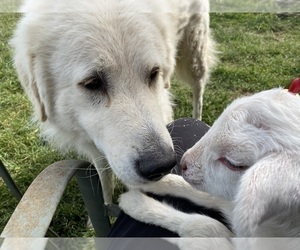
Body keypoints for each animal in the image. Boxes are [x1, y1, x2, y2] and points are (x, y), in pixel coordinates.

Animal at [11, 0, 216, 203]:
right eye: (92, 83)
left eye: (153, 73)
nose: (162, 166)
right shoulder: (94, 144)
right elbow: (104, 180)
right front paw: (105, 207)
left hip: (193, 54)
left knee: (198, 90)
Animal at [119, 87, 300, 240]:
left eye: (233, 163)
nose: (183, 163)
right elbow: (202, 193)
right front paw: (145, 190)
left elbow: (206, 226)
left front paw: (133, 202)